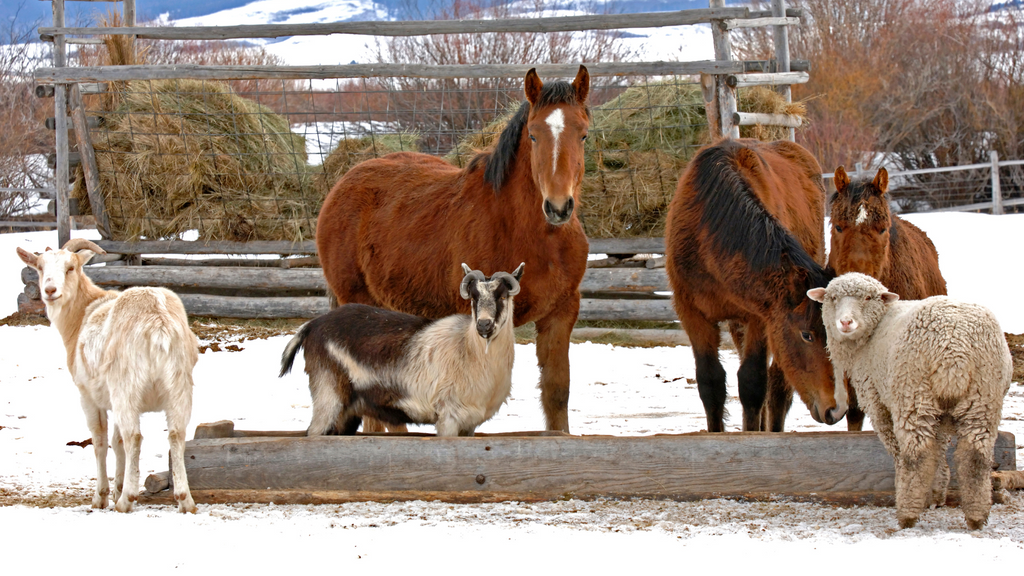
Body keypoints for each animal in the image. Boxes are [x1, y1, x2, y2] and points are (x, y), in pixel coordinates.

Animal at [280, 264, 524, 434]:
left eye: (503, 296)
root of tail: (312, 325)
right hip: (328, 394)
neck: (468, 349)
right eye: (473, 297)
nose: (484, 325)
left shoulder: (469, 424)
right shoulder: (448, 418)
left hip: (347, 412)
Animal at [317, 66, 593, 430]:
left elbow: (557, 393)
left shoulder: (561, 313)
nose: (558, 207)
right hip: (359, 304)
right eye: (534, 135)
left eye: (583, 134)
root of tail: (342, 185)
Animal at [663, 136, 839, 428]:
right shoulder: (691, 312)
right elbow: (710, 383)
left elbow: (752, 384)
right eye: (806, 334)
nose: (835, 410)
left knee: (778, 387)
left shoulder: (763, 316)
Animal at [806, 270, 1015, 528]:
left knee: (916, 453)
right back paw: (976, 516)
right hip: (983, 395)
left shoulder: (877, 400)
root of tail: (956, 346)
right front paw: (936, 494)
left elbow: (901, 449)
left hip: (913, 392)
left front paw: (920, 495)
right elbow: (939, 449)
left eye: (867, 298)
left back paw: (907, 513)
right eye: (833, 298)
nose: (845, 323)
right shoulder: (942, 412)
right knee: (975, 455)